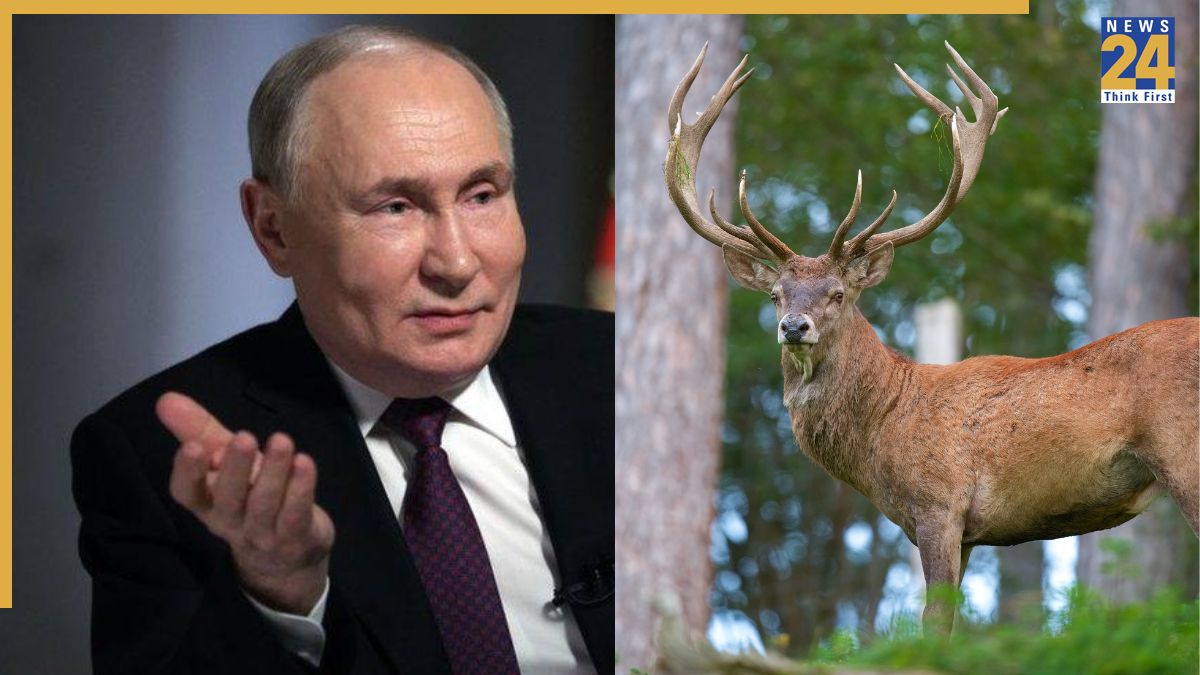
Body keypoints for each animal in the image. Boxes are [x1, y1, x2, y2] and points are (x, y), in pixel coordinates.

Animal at [664, 41, 1199, 633]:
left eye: (838, 293)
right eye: (777, 295)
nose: (794, 327)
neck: (884, 427)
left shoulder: (939, 505)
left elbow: (935, 624)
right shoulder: (964, 532)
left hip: (1185, 455)